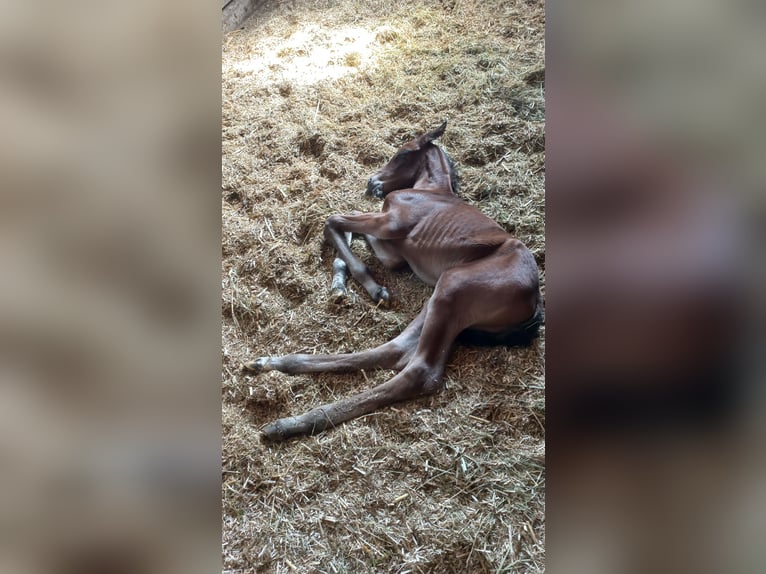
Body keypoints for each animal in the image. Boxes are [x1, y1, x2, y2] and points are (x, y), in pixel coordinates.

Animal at [248, 122, 544, 440]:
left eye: (402, 153)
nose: (371, 182)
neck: (431, 190)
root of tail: (535, 302)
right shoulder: (395, 251)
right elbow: (348, 231)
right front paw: (342, 284)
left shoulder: (390, 223)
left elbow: (333, 220)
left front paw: (370, 286)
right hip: (442, 296)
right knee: (396, 350)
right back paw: (274, 364)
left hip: (453, 285)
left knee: (420, 371)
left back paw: (292, 423)